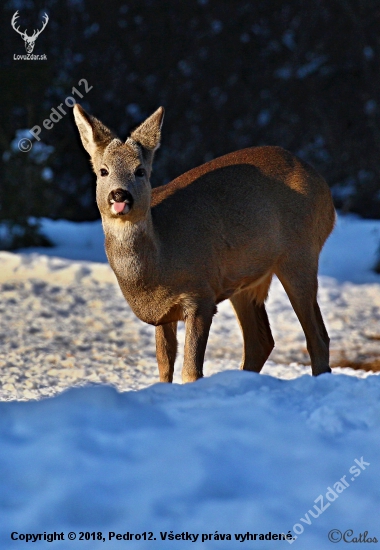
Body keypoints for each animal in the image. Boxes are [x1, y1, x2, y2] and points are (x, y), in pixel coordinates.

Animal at [74, 105, 336, 386]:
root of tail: (323, 186)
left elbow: (191, 371)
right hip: (244, 279)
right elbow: (164, 367)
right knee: (261, 342)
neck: (160, 261)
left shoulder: (201, 295)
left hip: (300, 252)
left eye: (140, 170)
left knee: (317, 337)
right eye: (103, 171)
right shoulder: (163, 313)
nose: (119, 195)